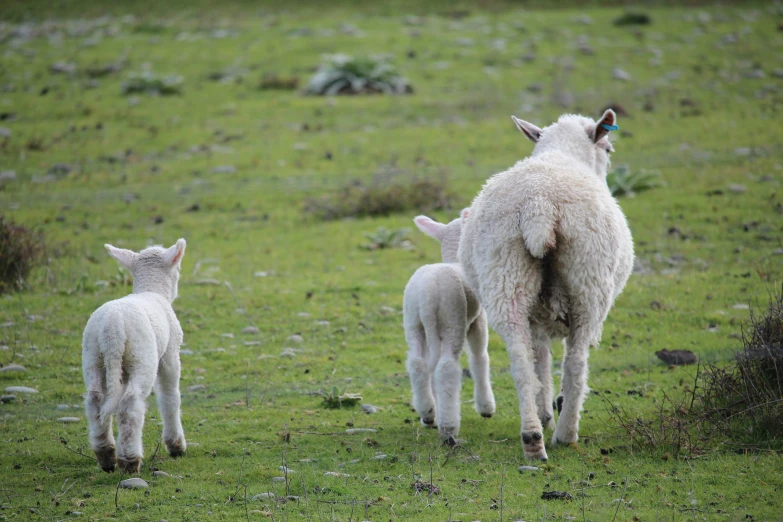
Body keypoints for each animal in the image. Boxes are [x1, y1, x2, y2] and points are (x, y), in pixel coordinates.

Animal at [82, 238, 188, 474]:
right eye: (178, 270)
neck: (152, 289)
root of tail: (112, 329)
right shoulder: (170, 355)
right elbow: (170, 397)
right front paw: (176, 445)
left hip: (93, 357)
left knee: (95, 401)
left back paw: (106, 455)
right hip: (142, 359)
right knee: (130, 405)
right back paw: (130, 460)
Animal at [404, 209, 496, 440]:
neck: (455, 258)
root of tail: (427, 297)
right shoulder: (478, 322)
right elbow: (479, 358)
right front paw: (486, 407)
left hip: (413, 322)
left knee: (417, 363)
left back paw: (428, 413)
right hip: (452, 319)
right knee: (446, 368)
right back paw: (449, 426)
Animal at [460, 109, 636, 460]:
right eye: (608, 148)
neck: (562, 154)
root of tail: (540, 204)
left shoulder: (537, 316)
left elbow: (540, 363)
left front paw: (544, 415)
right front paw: (554, 416)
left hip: (505, 275)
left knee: (521, 364)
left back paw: (532, 437)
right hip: (588, 281)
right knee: (577, 364)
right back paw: (566, 434)